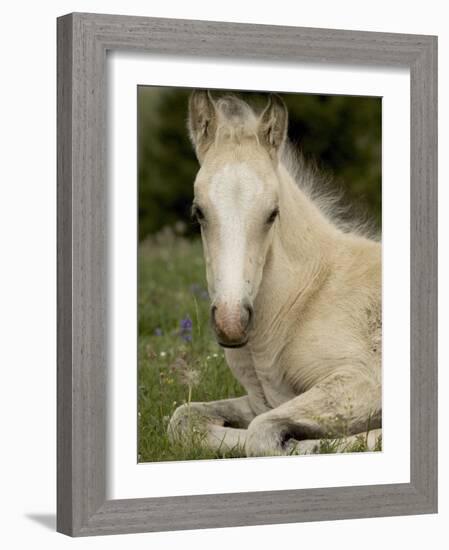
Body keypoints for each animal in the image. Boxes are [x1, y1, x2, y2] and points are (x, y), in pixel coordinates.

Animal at [167, 91, 378, 458]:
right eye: (199, 212)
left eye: (272, 213)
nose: (232, 323)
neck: (307, 300)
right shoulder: (263, 399)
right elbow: (184, 420)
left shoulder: (363, 379)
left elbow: (262, 434)